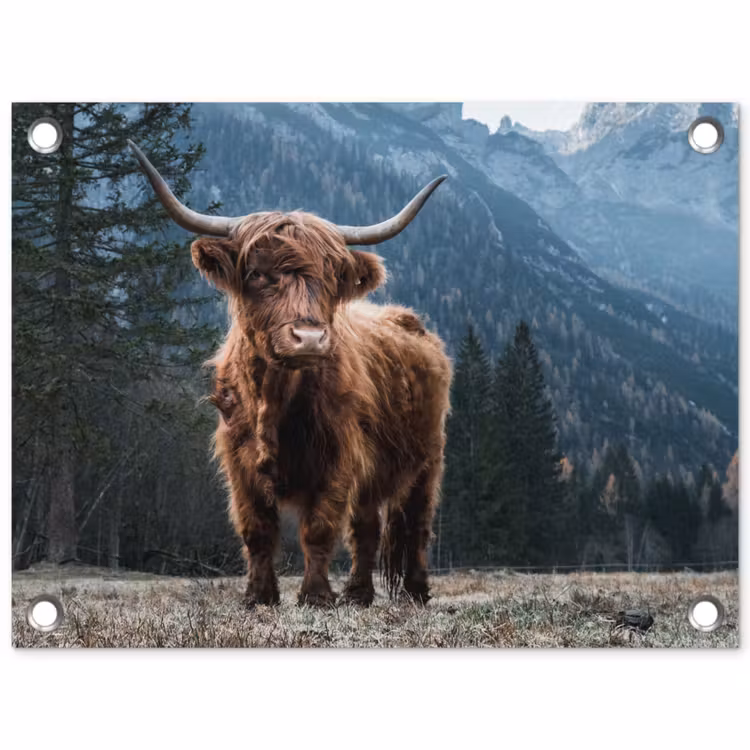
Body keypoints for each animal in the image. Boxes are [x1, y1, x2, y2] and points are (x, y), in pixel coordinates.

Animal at [129, 140, 452, 607]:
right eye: (257, 273)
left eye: (332, 277)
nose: (310, 338)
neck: (274, 398)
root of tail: (409, 320)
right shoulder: (238, 460)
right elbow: (257, 530)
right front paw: (258, 596)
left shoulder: (338, 456)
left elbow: (319, 529)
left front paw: (315, 596)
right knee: (367, 528)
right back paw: (358, 594)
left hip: (428, 458)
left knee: (417, 525)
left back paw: (416, 591)